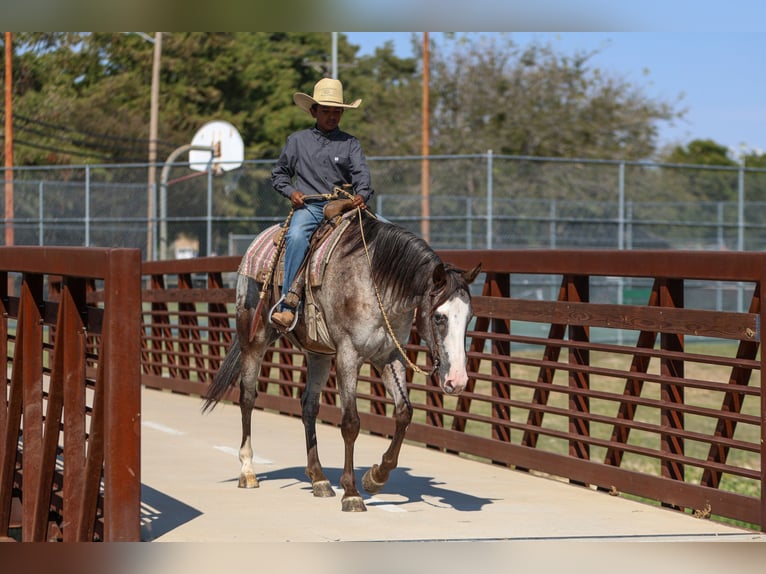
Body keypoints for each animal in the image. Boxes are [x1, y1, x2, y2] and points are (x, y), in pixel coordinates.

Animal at [204, 209, 480, 516]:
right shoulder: (349, 355)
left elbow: (404, 413)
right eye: (439, 317)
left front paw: (375, 477)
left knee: (309, 405)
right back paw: (248, 471)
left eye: (468, 317)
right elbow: (350, 422)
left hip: (318, 354)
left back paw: (319, 478)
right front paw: (351, 493)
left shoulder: (389, 355)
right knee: (248, 398)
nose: (457, 380)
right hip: (254, 340)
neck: (377, 283)